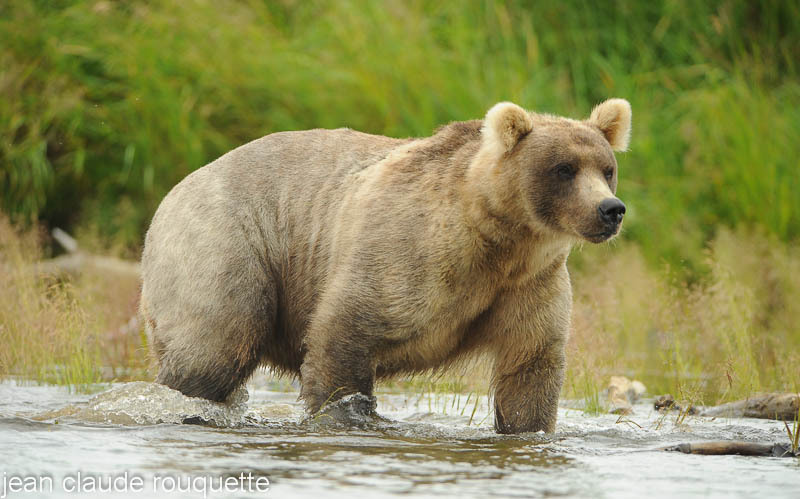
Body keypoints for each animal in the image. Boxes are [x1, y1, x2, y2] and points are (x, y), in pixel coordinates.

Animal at [142, 98, 632, 434]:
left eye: (606, 168)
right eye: (564, 168)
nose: (610, 209)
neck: (496, 242)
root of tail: (171, 193)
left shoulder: (528, 284)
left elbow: (530, 369)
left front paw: (527, 429)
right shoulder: (408, 254)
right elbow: (343, 336)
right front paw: (347, 415)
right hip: (230, 245)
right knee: (211, 352)